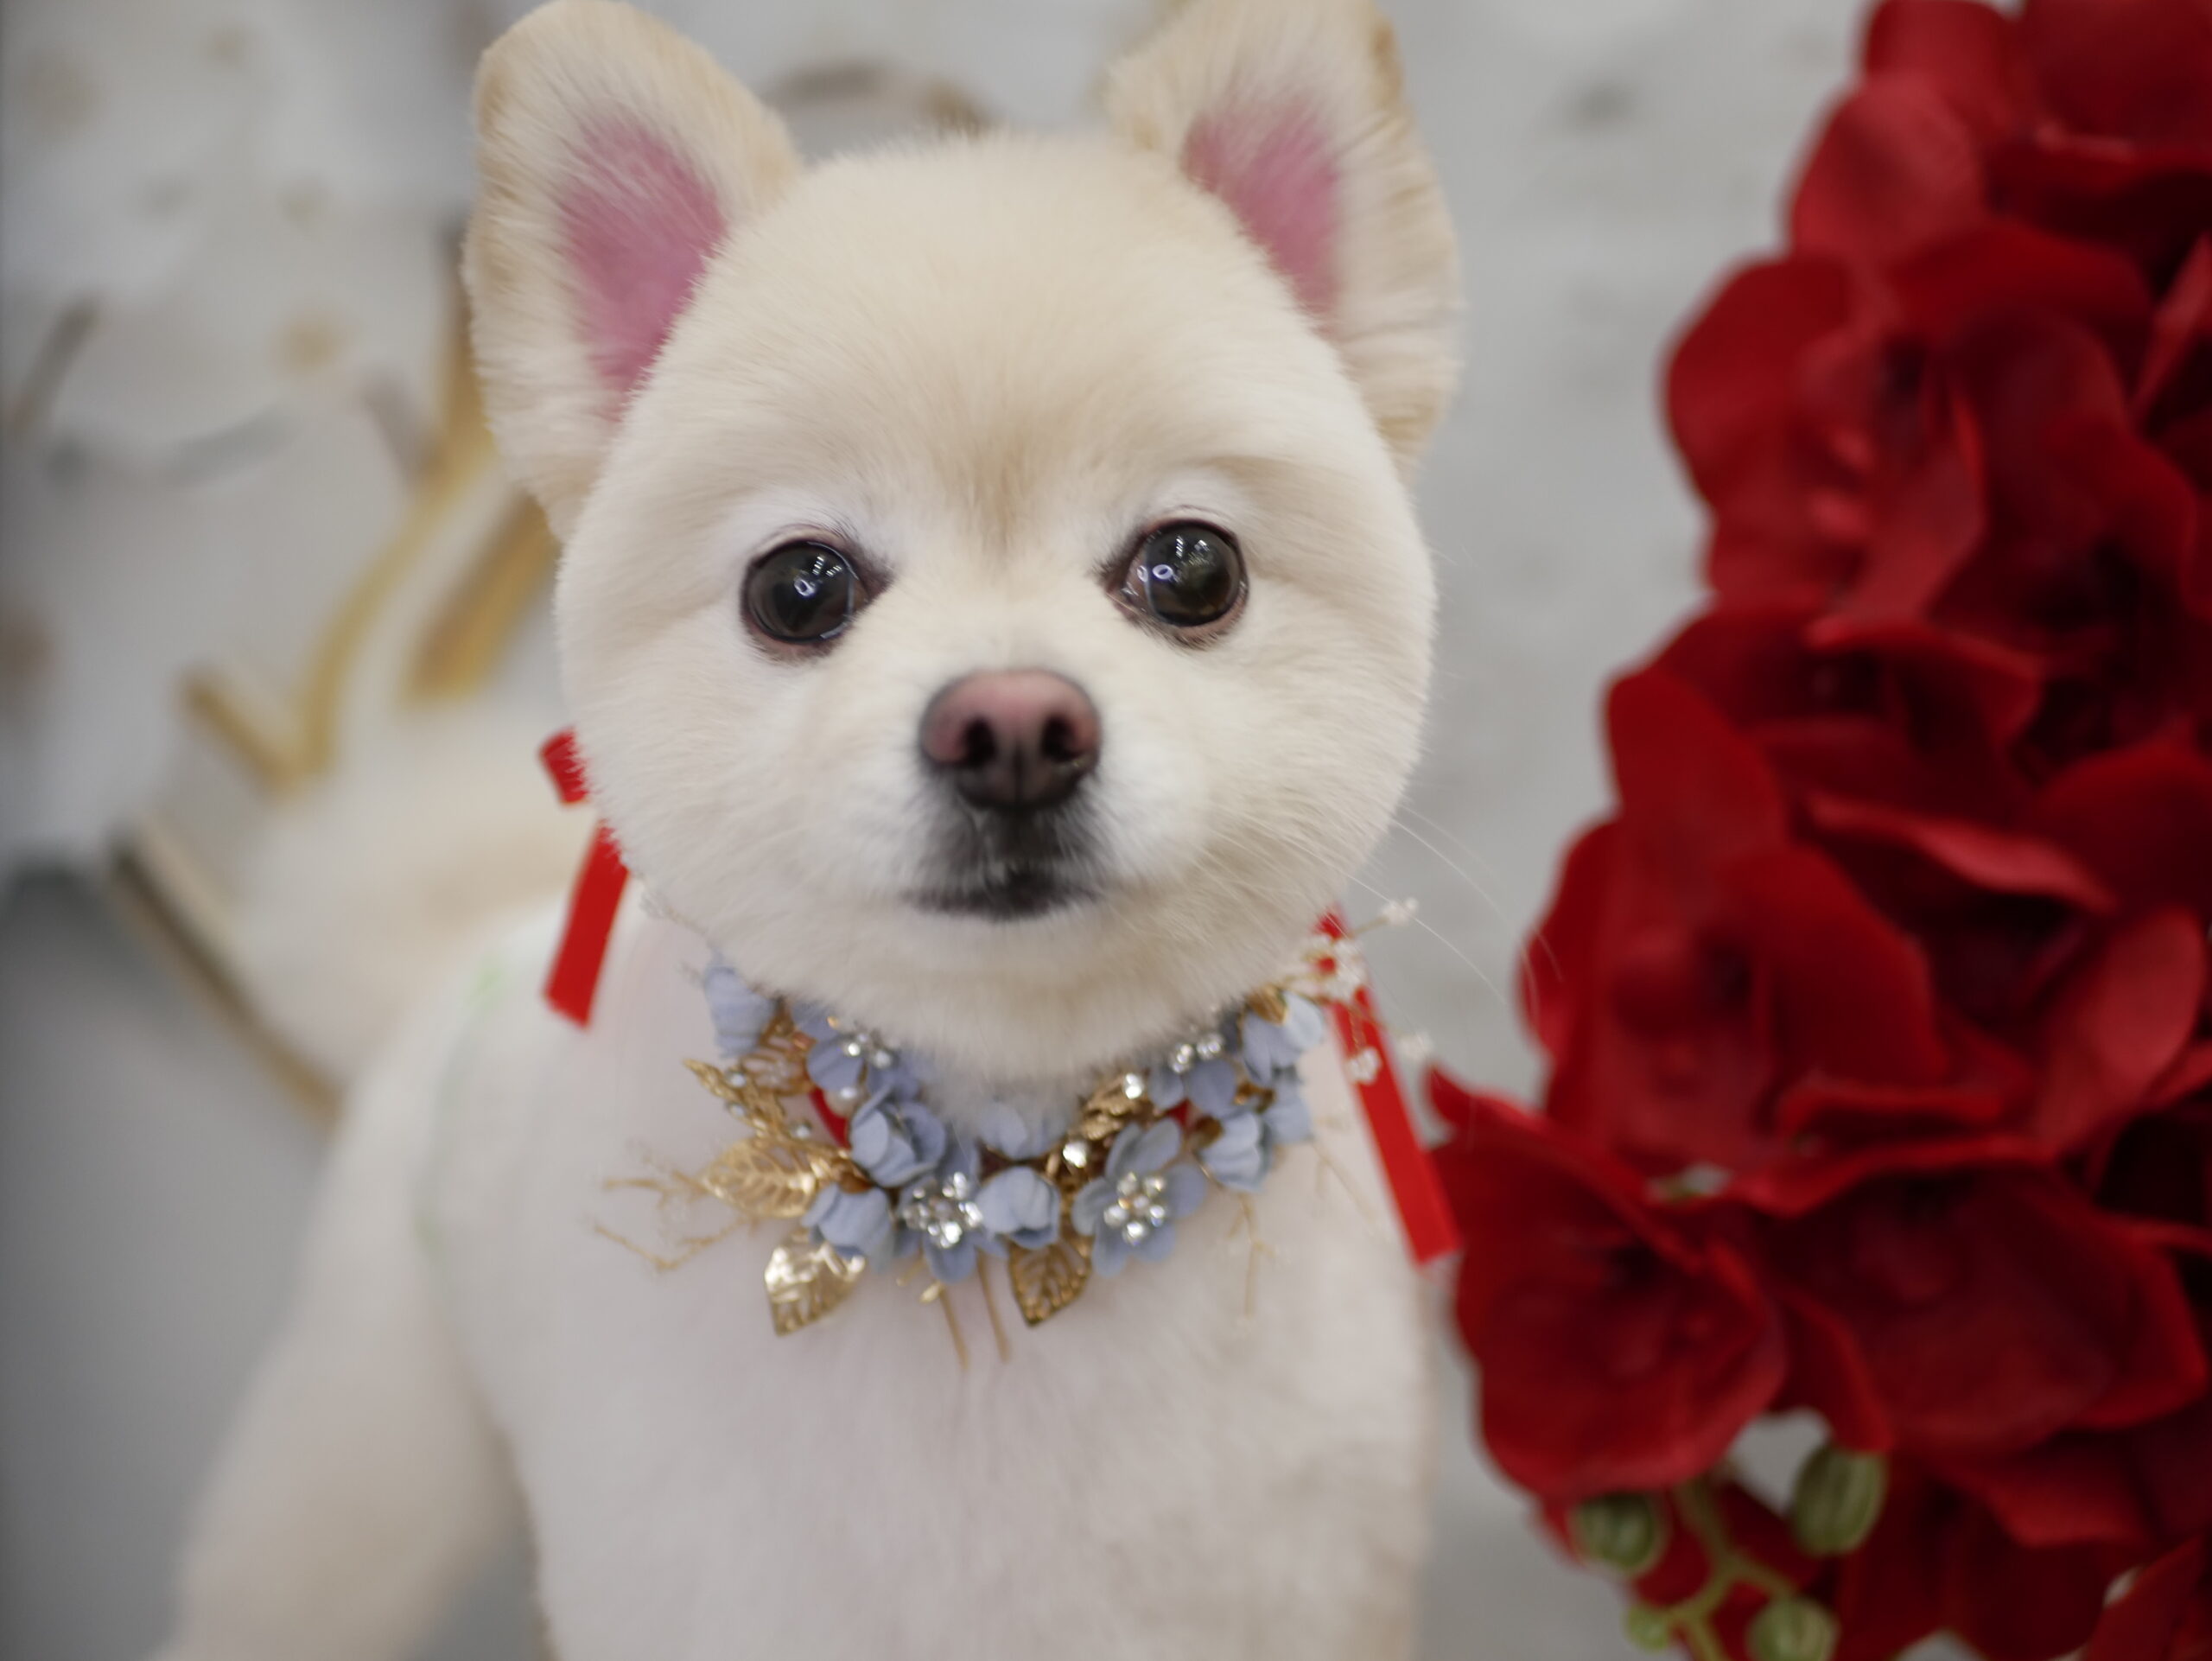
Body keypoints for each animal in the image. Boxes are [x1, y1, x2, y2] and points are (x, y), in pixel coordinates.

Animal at [155, 0, 1460, 1655]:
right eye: (799, 587)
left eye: (1192, 567)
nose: (1013, 727)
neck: (1002, 1165)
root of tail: (472, 940)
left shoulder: (1293, 1589)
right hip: (361, 1449)